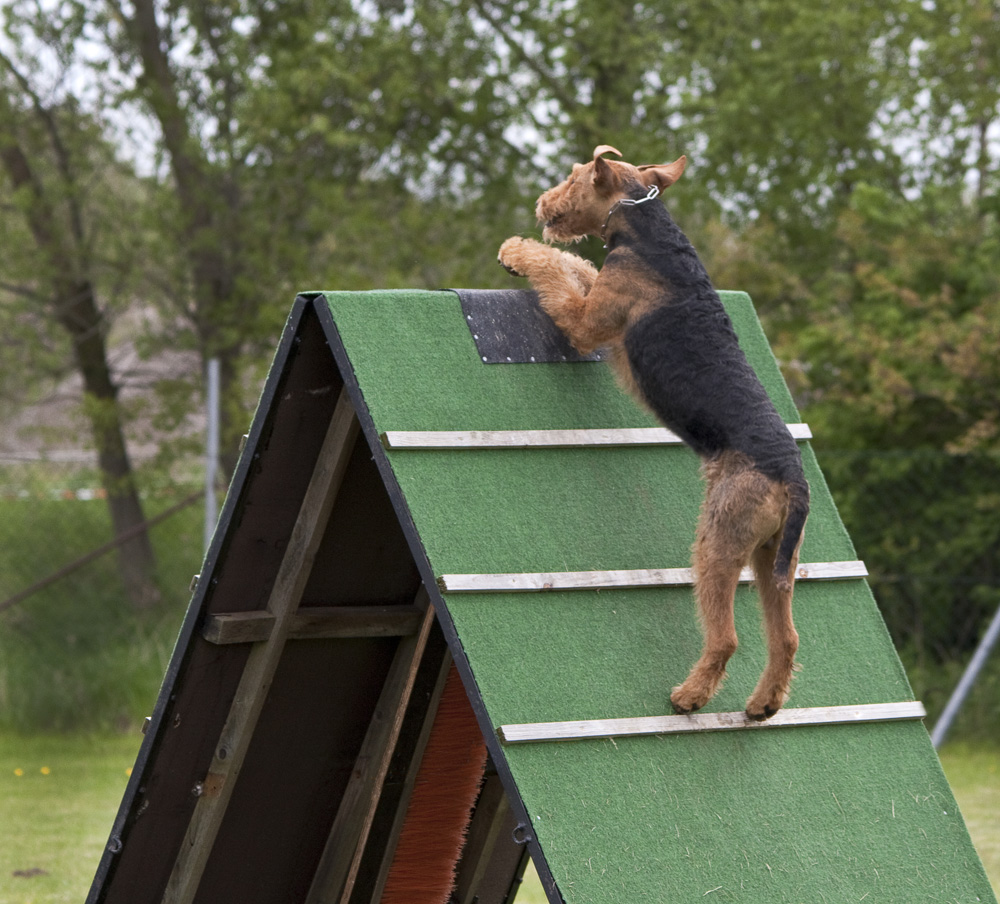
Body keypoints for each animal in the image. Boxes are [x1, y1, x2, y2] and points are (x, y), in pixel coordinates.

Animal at [496, 145, 808, 720]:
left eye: (572, 177)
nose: (543, 203)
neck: (647, 228)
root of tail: (794, 480)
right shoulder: (595, 296)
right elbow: (576, 266)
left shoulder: (585, 323)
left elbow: (555, 269)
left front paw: (515, 250)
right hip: (775, 559)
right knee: (787, 639)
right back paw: (762, 705)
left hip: (717, 544)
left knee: (726, 638)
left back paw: (688, 696)